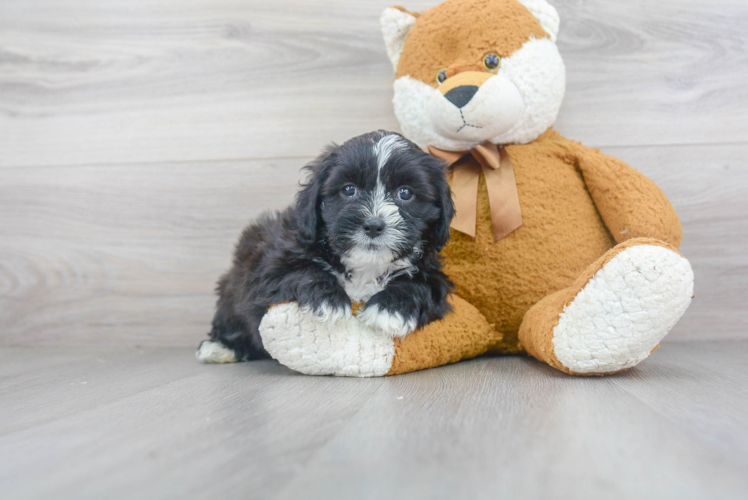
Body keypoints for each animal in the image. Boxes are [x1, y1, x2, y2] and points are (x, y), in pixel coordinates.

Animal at [196, 129, 452, 364]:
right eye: (349, 190)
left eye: (405, 193)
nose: (373, 225)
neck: (365, 266)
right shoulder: (269, 268)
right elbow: (302, 271)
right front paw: (328, 300)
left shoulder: (435, 277)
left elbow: (419, 285)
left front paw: (389, 309)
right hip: (234, 285)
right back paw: (220, 347)